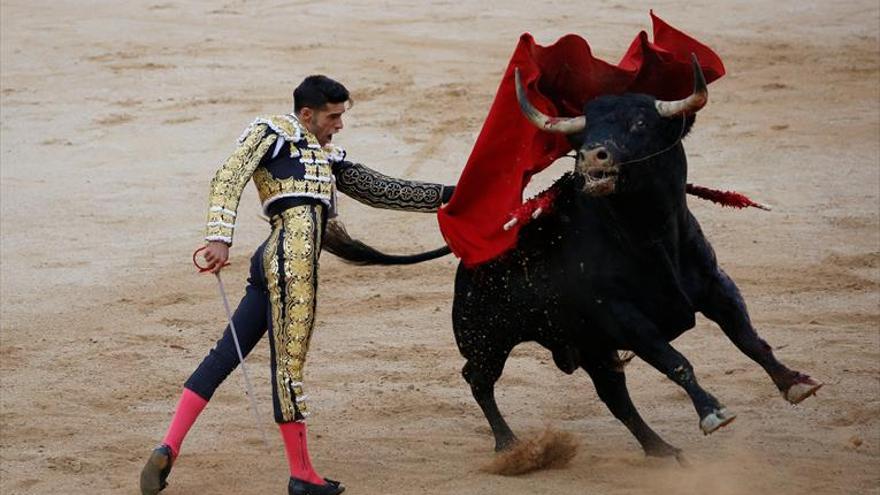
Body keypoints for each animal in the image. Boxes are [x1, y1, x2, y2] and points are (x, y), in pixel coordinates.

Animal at [324, 60, 824, 464]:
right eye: (583, 133)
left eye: (640, 122)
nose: (590, 154)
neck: (649, 235)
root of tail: (471, 255)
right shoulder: (623, 317)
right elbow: (676, 360)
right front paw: (714, 413)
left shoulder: (714, 286)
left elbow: (749, 338)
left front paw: (795, 382)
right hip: (487, 336)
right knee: (479, 379)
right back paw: (511, 446)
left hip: (588, 348)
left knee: (614, 397)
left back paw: (660, 449)